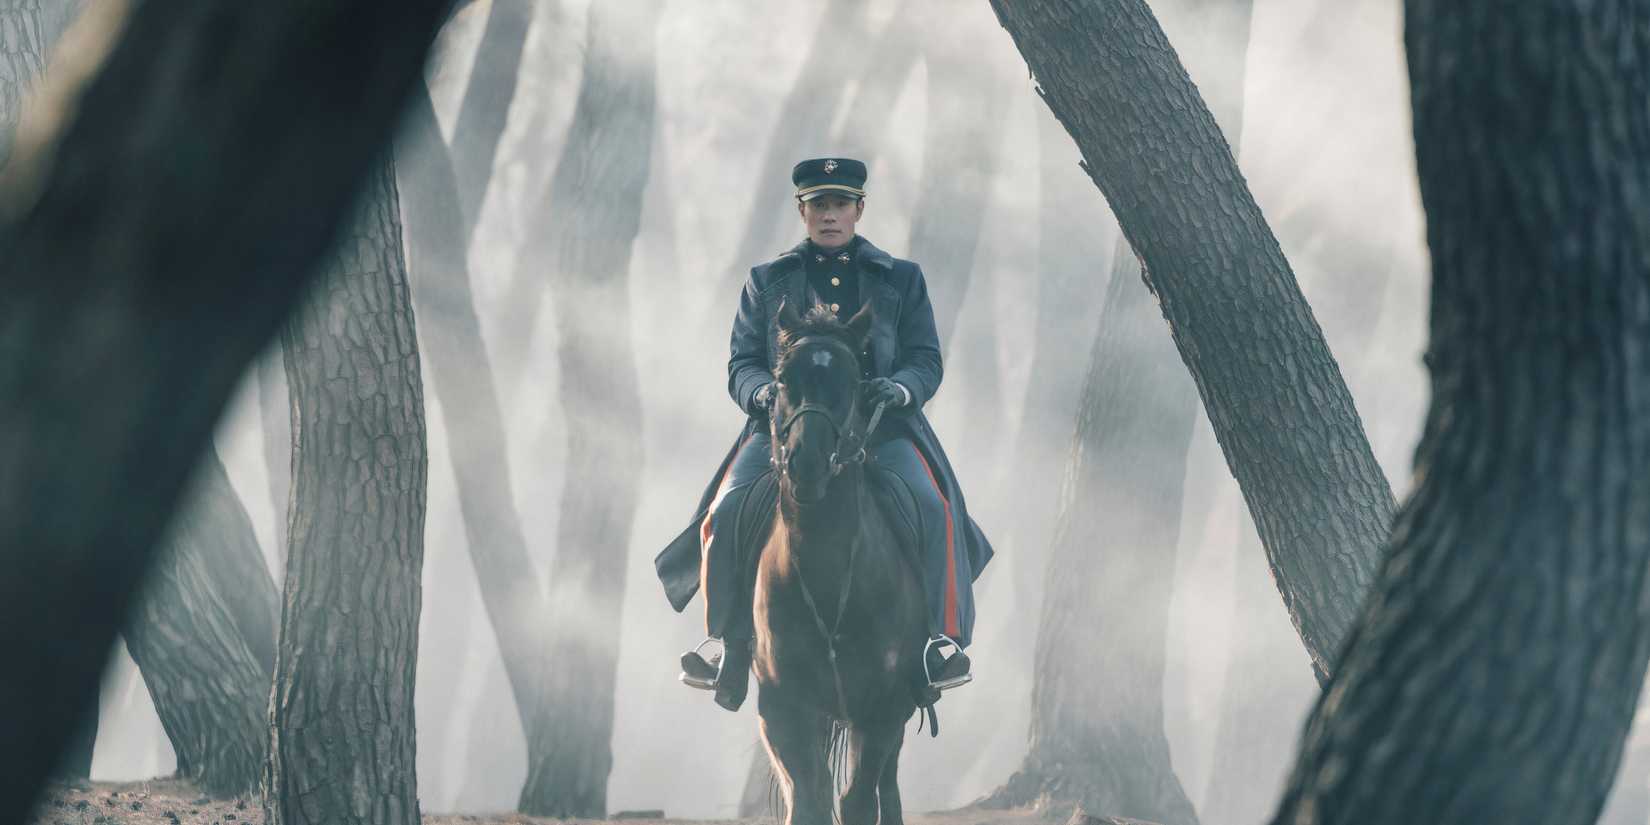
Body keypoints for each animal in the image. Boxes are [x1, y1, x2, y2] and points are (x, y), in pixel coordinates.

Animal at [752, 300, 930, 825]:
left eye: (853, 380)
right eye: (781, 379)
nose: (806, 463)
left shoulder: (883, 705)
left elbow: (857, 801)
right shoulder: (782, 705)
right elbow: (808, 799)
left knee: (886, 784)